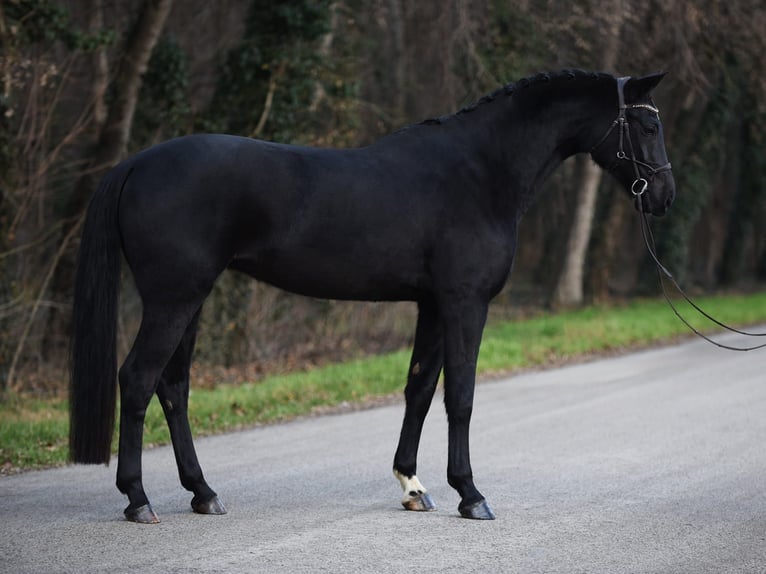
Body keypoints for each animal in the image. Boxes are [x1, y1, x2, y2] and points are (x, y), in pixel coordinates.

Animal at [70, 70, 672, 524]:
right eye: (646, 123)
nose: (664, 197)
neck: (480, 171)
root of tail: (136, 164)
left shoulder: (432, 305)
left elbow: (420, 389)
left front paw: (413, 485)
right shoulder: (465, 303)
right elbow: (461, 396)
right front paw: (471, 495)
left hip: (191, 300)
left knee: (173, 387)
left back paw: (203, 493)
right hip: (173, 299)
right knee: (139, 379)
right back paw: (138, 500)